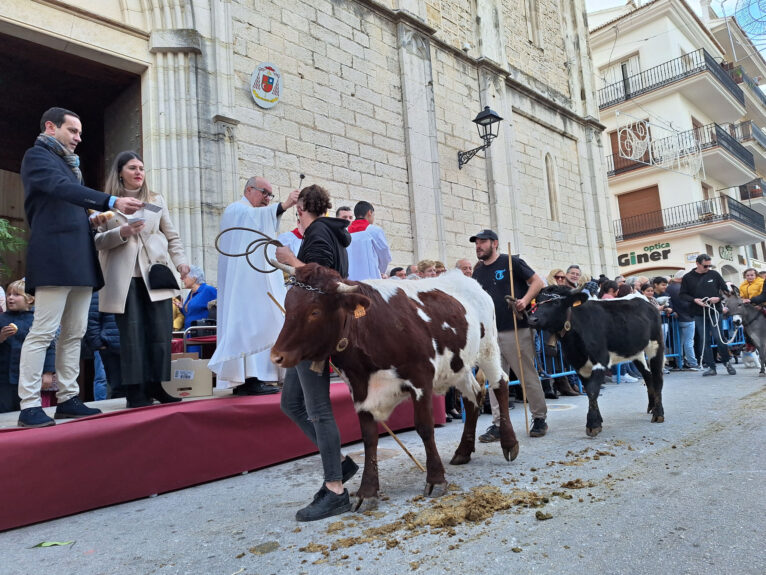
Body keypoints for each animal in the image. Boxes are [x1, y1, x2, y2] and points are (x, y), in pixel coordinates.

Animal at [270, 264, 520, 506]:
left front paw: (435, 479)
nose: (276, 356)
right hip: (458, 365)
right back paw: (463, 451)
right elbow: (369, 438)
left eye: (315, 312)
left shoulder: (421, 379)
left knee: (500, 384)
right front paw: (367, 491)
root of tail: (464, 278)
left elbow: (425, 427)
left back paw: (509, 443)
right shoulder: (360, 391)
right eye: (288, 305)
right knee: (473, 396)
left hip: (488, 348)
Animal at [528, 286, 664, 438]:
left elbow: (593, 390)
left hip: (655, 345)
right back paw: (652, 407)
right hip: (636, 352)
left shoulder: (600, 360)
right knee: (648, 375)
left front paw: (593, 425)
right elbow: (588, 391)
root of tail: (643, 299)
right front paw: (598, 421)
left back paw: (658, 414)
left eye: (556, 302)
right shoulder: (579, 364)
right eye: (537, 302)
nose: (532, 319)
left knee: (657, 377)